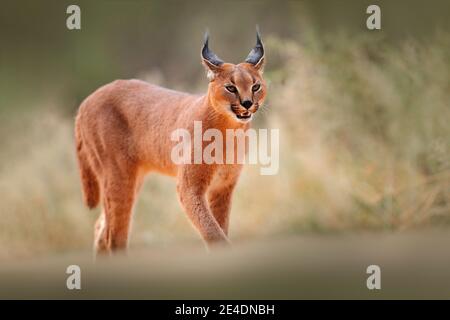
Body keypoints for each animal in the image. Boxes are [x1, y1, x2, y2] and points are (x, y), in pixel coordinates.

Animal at [74, 30, 266, 255]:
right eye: (230, 88)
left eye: (256, 86)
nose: (248, 103)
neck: (231, 131)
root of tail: (87, 100)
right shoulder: (190, 186)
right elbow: (213, 231)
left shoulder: (222, 187)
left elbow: (220, 227)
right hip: (118, 176)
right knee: (113, 237)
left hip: (131, 178)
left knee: (101, 228)